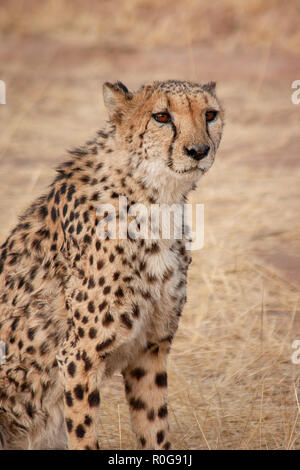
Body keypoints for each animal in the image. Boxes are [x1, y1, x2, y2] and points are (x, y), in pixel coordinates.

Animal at [0, 81, 223, 452]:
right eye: (162, 117)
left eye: (210, 114)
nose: (198, 150)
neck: (154, 199)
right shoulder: (78, 355)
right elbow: (83, 434)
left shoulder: (151, 347)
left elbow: (154, 428)